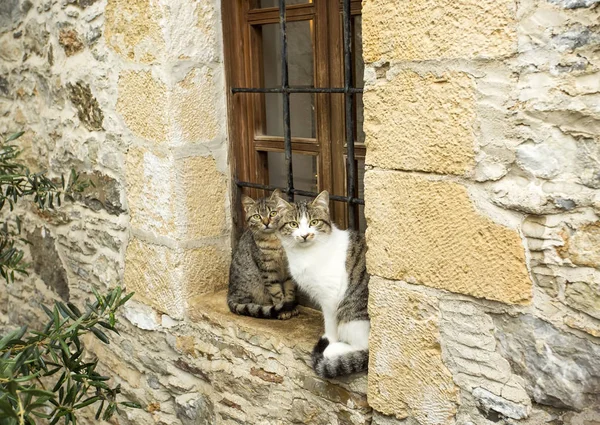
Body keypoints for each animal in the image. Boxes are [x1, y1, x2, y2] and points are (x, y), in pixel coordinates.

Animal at [274, 190, 368, 376]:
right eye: (294, 224)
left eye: (314, 222)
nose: (305, 235)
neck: (305, 254)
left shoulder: (330, 297)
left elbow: (330, 325)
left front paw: (330, 341)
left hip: (352, 314)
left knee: (363, 347)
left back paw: (334, 350)